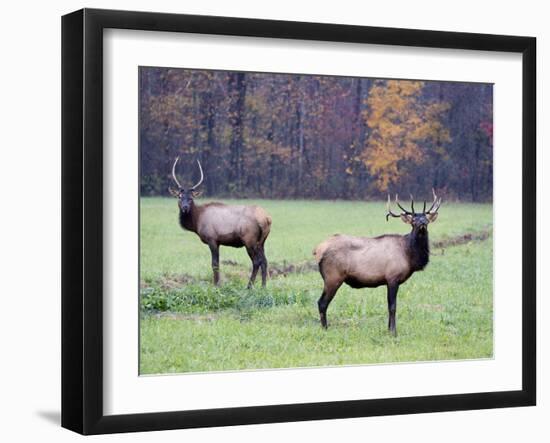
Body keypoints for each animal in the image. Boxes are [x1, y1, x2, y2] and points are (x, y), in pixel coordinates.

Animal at [168, 158, 272, 290]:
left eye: (191, 198)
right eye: (179, 197)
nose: (185, 208)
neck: (197, 221)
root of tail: (266, 219)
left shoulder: (212, 239)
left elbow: (215, 264)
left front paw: (216, 285)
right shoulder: (218, 242)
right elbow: (216, 263)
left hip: (249, 240)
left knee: (256, 261)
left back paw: (249, 286)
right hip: (262, 242)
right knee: (265, 261)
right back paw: (263, 286)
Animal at [314, 192, 444, 336]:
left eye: (426, 218)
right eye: (413, 221)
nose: (422, 223)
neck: (409, 255)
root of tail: (318, 250)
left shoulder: (389, 281)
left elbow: (389, 306)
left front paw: (388, 329)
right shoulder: (392, 278)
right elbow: (392, 306)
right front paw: (393, 332)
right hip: (333, 277)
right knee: (322, 302)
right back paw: (325, 328)